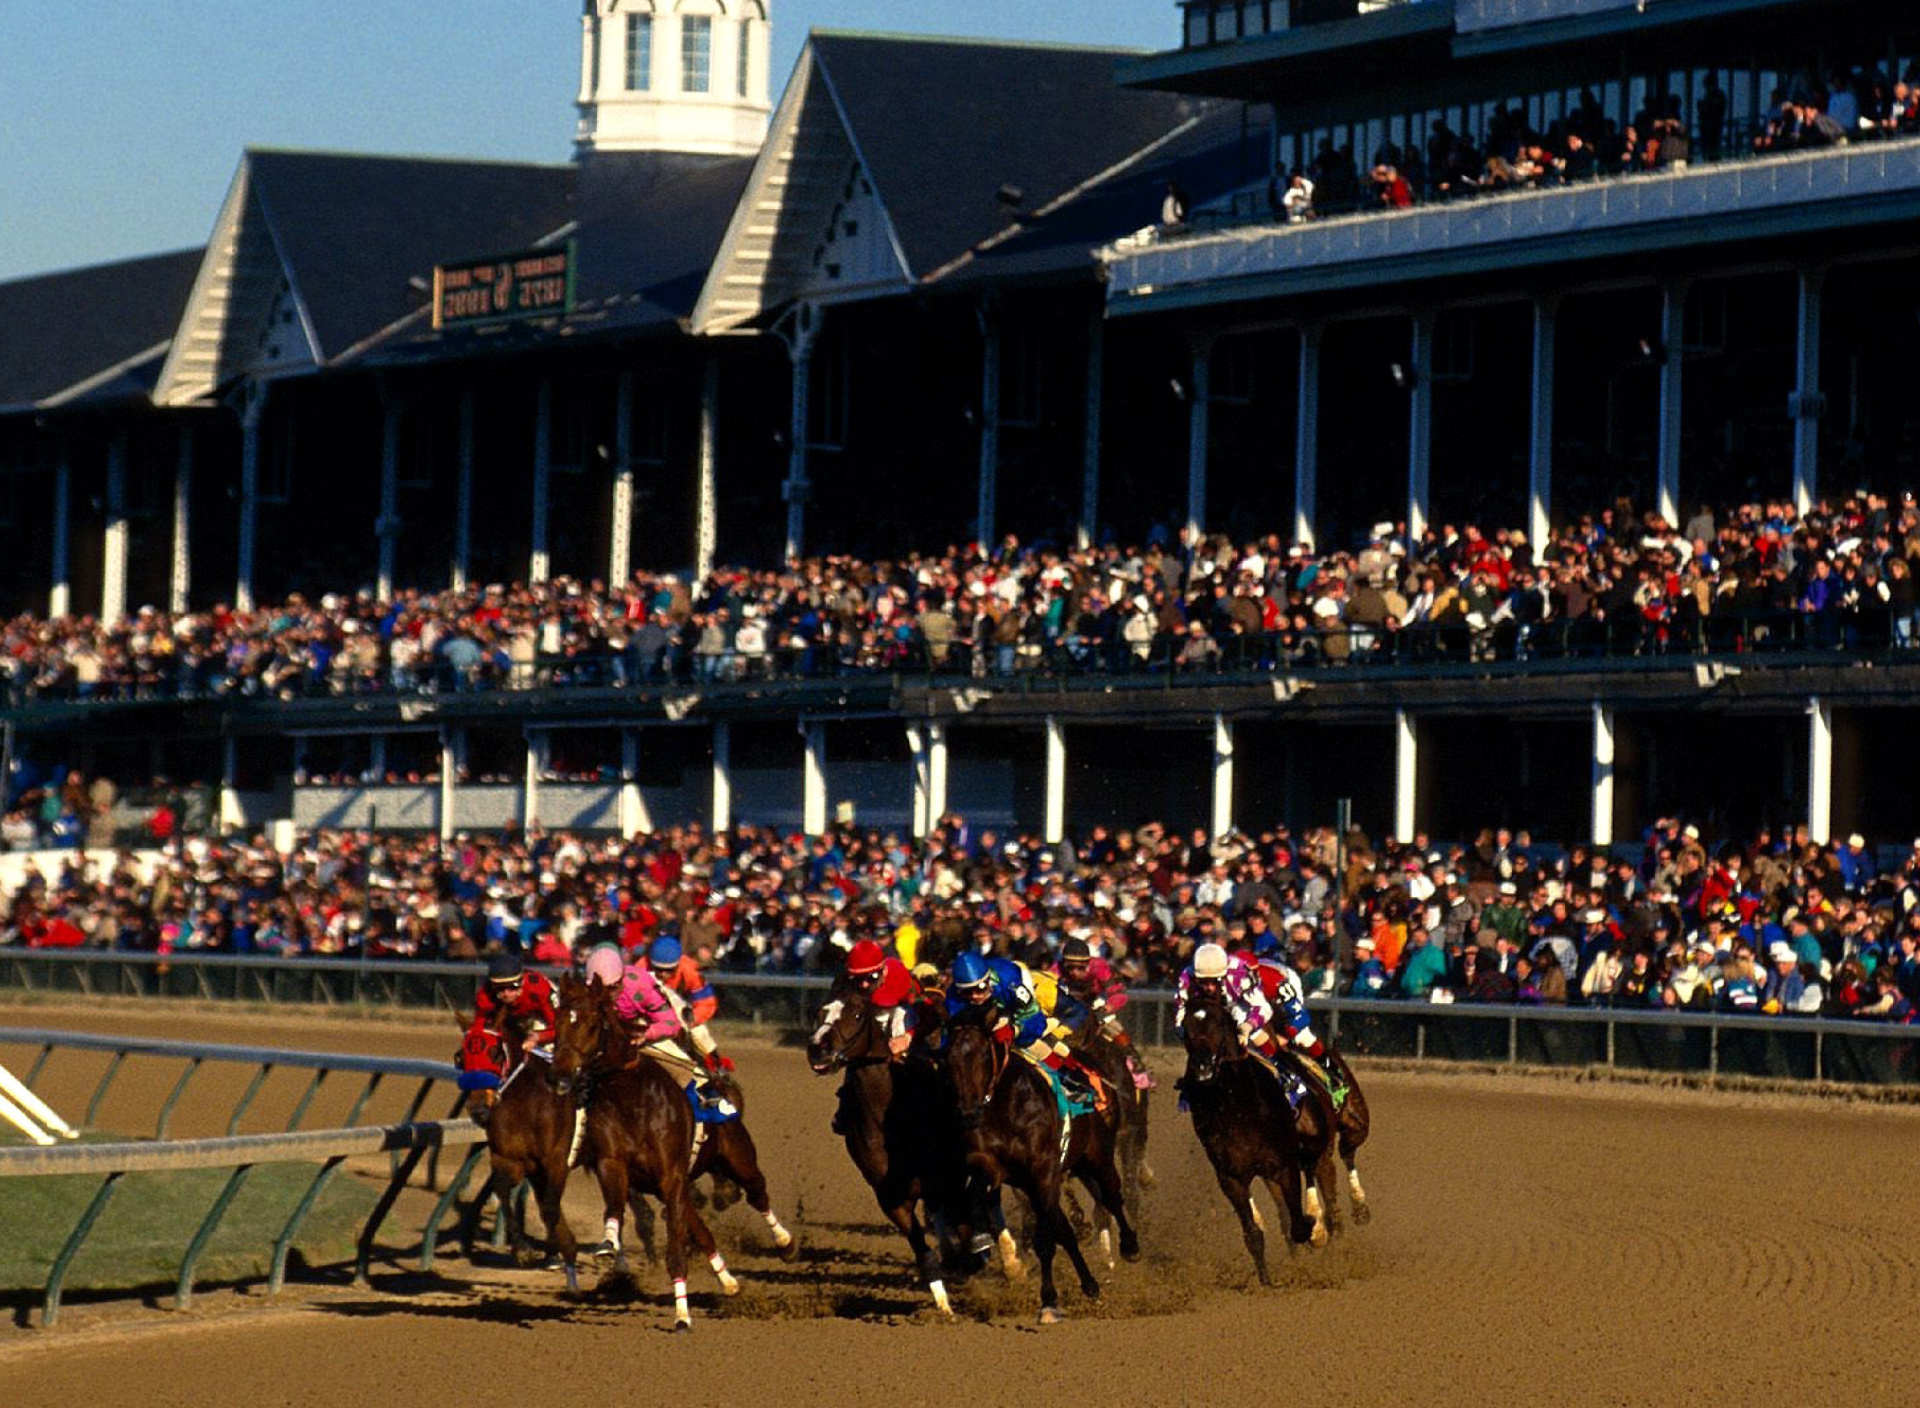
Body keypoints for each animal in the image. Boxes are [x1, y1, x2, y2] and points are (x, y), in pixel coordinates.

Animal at [806, 983, 1006, 1313]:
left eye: (857, 1014)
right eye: (821, 1012)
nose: (818, 1047)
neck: (894, 1119)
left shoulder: (947, 1182)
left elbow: (970, 1230)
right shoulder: (891, 1197)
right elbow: (924, 1252)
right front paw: (944, 1306)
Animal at [936, 1014, 1128, 1321]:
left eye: (983, 1055)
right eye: (947, 1058)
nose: (967, 1112)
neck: (1006, 1105)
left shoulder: (1043, 1170)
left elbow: (1045, 1241)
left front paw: (1048, 1301)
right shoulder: (992, 1165)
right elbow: (978, 1192)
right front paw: (979, 1240)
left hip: (1097, 1155)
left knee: (1111, 1195)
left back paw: (1130, 1246)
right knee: (1067, 1231)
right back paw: (1090, 1284)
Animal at [1167, 991, 1336, 1283]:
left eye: (1218, 1023)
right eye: (1185, 1027)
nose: (1202, 1067)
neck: (1236, 1106)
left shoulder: (1283, 1165)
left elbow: (1298, 1223)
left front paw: (1314, 1230)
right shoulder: (1231, 1177)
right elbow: (1254, 1234)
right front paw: (1265, 1282)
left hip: (1312, 1139)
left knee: (1310, 1167)